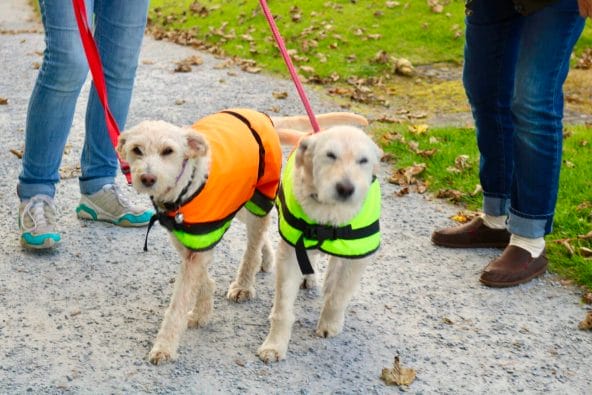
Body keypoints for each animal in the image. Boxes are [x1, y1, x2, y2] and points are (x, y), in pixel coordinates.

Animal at [116, 107, 368, 366]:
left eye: (168, 151)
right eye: (137, 150)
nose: (147, 179)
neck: (186, 183)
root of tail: (263, 116)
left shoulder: (197, 246)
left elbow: (178, 303)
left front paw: (164, 347)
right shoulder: (187, 238)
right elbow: (202, 280)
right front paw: (203, 311)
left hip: (259, 202)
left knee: (252, 249)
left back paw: (245, 284)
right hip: (240, 203)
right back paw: (267, 258)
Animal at [256, 123, 382, 362]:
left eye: (363, 160)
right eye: (330, 155)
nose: (345, 188)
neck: (329, 214)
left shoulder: (356, 260)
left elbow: (338, 295)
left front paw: (330, 323)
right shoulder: (290, 254)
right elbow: (283, 307)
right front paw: (275, 345)